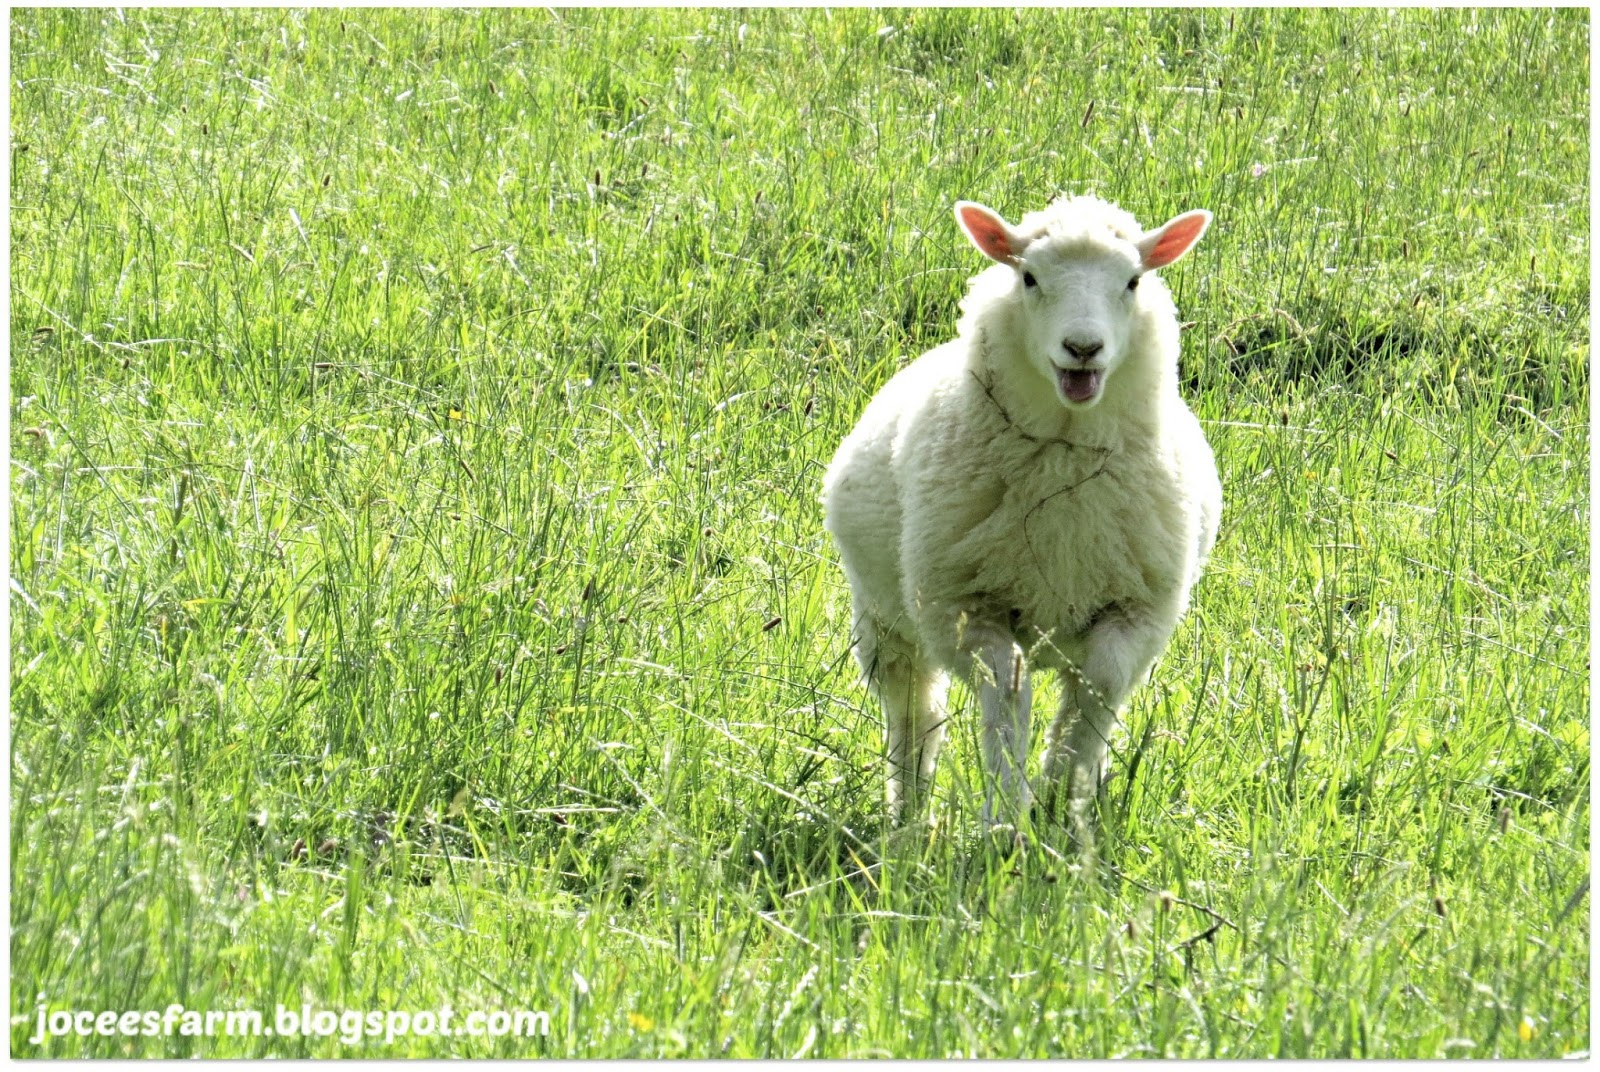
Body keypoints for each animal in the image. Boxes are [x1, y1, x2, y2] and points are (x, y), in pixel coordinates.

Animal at [821, 193, 1221, 835]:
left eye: (1133, 281)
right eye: (1029, 277)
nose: (1082, 349)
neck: (1064, 456)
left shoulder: (1136, 610)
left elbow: (1097, 689)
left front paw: (1061, 801)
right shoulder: (963, 607)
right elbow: (1007, 694)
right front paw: (1006, 812)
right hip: (885, 617)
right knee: (912, 713)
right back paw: (907, 812)